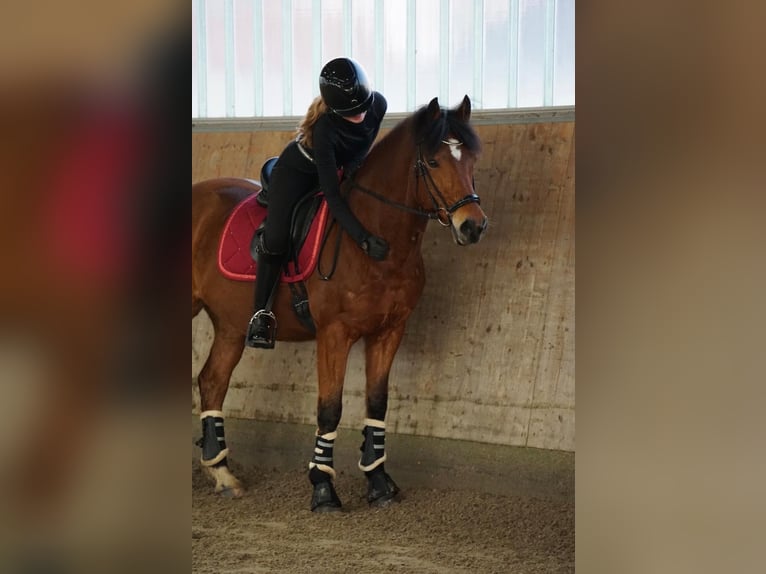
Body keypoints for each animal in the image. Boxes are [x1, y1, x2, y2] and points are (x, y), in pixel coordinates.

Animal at [191, 95, 488, 511]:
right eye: (433, 163)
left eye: (472, 160)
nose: (472, 225)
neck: (375, 243)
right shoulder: (334, 334)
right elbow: (330, 409)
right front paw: (323, 489)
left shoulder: (388, 331)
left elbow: (376, 404)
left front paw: (378, 482)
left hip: (232, 326)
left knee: (212, 381)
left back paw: (221, 474)